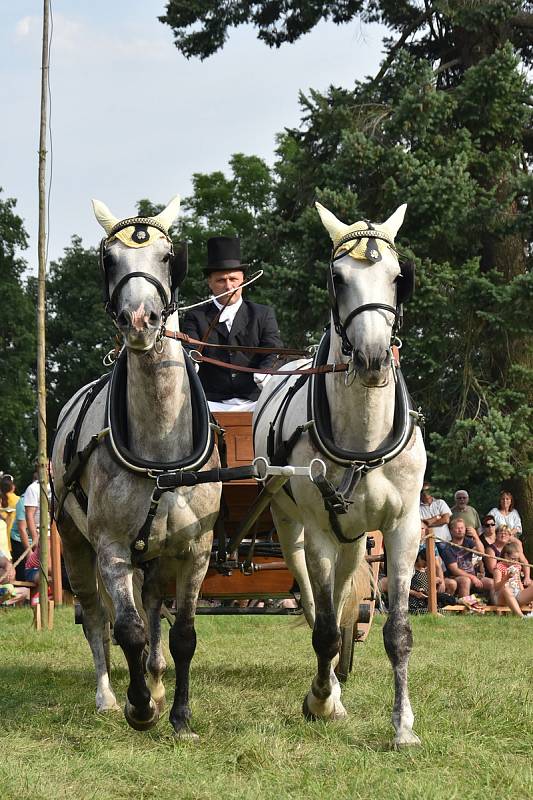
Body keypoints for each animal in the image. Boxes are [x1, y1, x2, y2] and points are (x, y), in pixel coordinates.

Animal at [51, 195, 221, 736]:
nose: (140, 320)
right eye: (109, 260)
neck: (160, 445)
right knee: (96, 618)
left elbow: (183, 633)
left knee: (151, 608)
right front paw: (140, 707)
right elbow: (126, 629)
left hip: (157, 554)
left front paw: (180, 715)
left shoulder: (196, 550)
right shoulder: (111, 547)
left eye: (168, 256)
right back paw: (109, 694)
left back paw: (158, 677)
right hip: (73, 541)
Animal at [252, 202, 424, 752]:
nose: (371, 358)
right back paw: (329, 687)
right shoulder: (320, 531)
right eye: (337, 277)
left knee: (347, 593)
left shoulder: (403, 527)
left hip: (355, 534)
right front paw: (321, 701)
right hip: (292, 527)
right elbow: (324, 629)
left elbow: (397, 633)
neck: (363, 439)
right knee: (313, 603)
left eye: (398, 277)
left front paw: (403, 726)